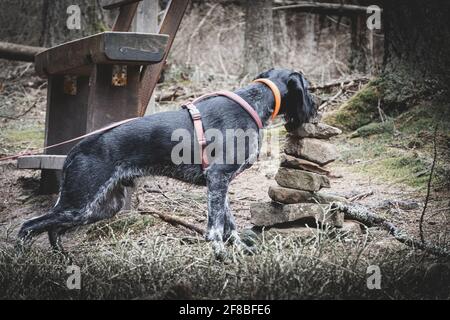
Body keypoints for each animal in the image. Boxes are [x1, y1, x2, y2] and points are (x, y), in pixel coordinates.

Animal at [18, 69, 316, 255]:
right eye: (308, 86)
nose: (315, 107)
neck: (253, 102)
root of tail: (75, 150)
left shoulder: (220, 185)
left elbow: (229, 225)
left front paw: (241, 253)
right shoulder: (218, 177)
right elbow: (216, 227)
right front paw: (219, 255)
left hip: (98, 207)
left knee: (52, 229)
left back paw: (64, 260)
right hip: (80, 202)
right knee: (28, 226)